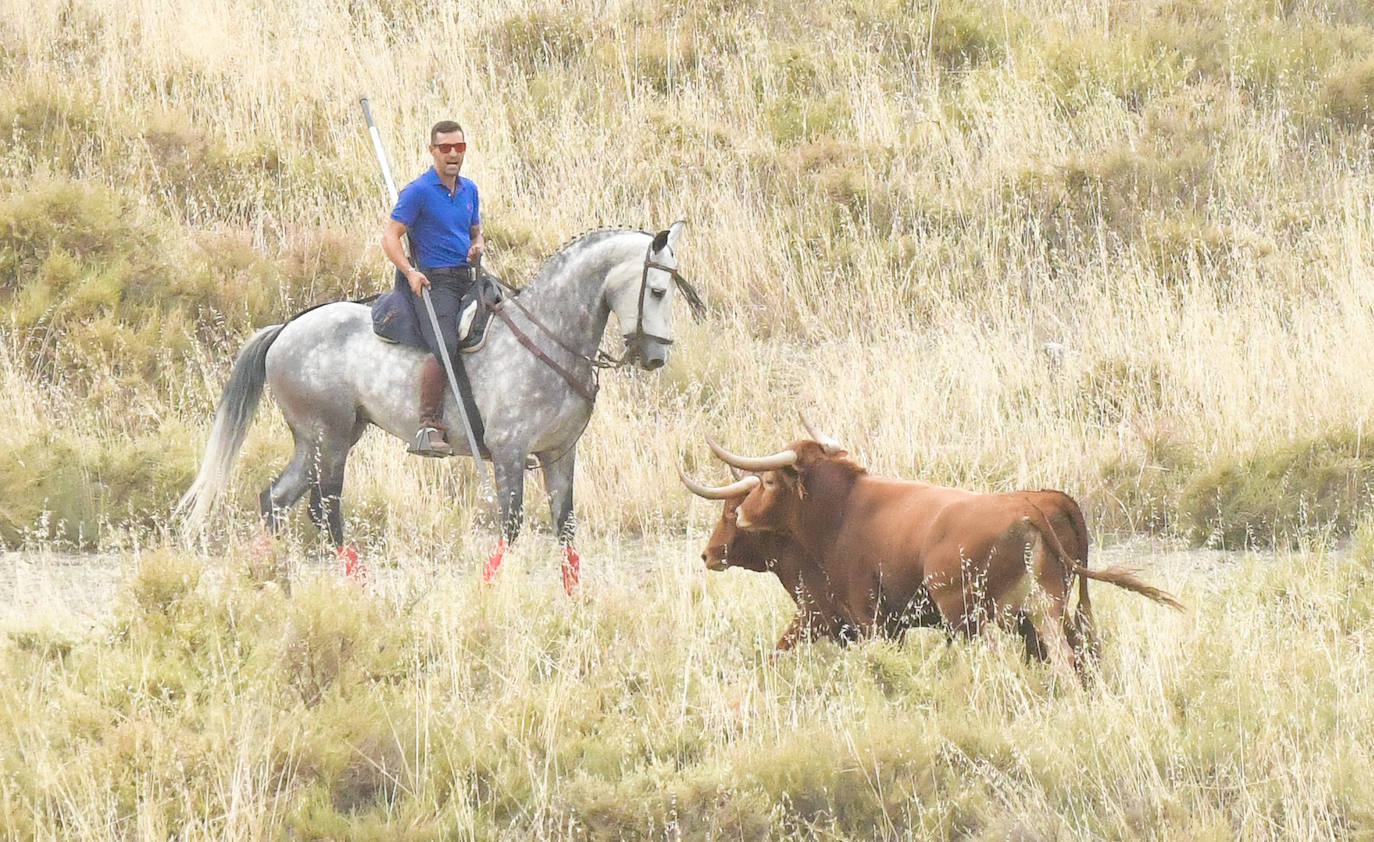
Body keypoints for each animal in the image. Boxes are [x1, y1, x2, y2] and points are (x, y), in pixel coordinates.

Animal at [179, 223, 697, 590]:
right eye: (657, 291)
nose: (655, 356)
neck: (551, 334)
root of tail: (287, 328)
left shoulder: (559, 454)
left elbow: (565, 529)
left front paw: (575, 603)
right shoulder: (509, 454)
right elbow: (511, 527)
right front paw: (485, 592)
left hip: (319, 440)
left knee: (277, 501)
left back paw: (271, 576)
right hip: (330, 438)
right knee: (325, 510)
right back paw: (360, 587)